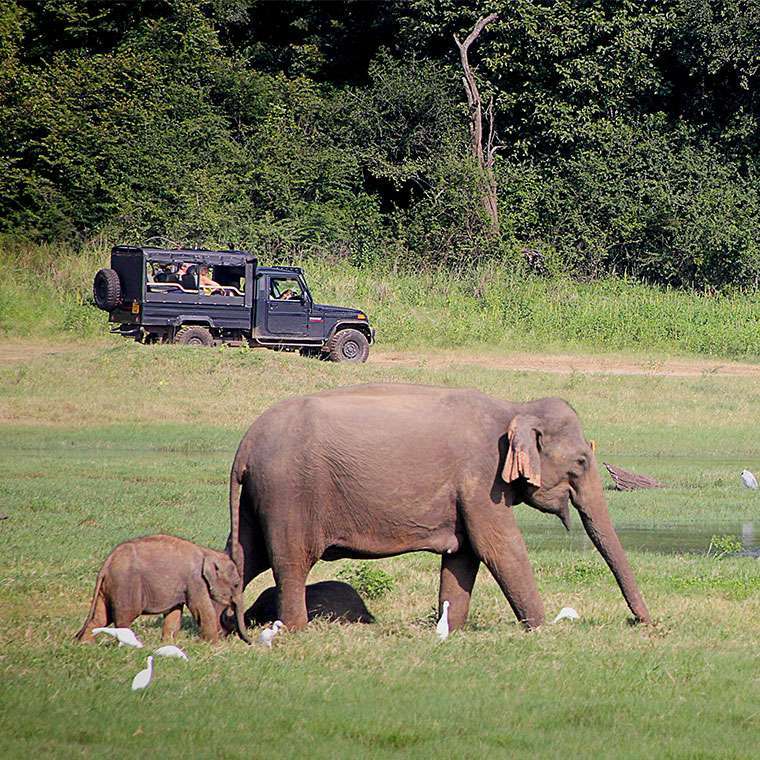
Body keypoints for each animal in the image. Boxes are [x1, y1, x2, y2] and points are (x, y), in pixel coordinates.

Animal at [76, 536, 251, 640]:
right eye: (236, 584)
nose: (249, 642)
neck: (207, 552)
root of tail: (107, 563)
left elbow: (174, 612)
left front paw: (168, 642)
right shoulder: (195, 581)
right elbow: (202, 609)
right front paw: (214, 645)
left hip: (108, 588)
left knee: (100, 618)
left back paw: (86, 644)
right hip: (125, 586)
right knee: (124, 618)